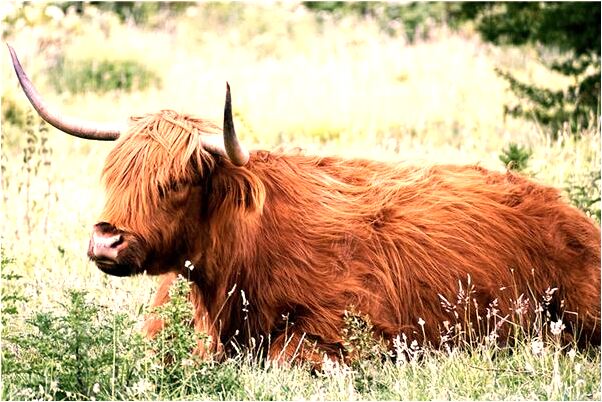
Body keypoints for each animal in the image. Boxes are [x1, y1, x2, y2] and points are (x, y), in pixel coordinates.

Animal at [8, 44, 596, 364]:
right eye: (113, 173)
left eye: (177, 181)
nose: (106, 240)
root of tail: (570, 214)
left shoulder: (349, 335)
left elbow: (283, 357)